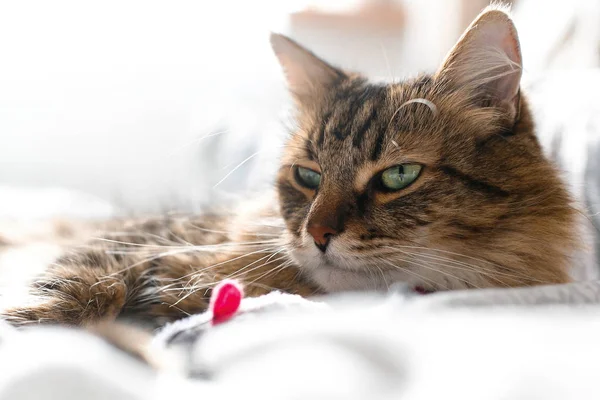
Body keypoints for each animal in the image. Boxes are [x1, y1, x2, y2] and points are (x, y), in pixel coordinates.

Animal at [0, 4, 580, 326]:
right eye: (308, 176)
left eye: (398, 176)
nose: (317, 235)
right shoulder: (131, 238)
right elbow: (74, 287)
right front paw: (29, 322)